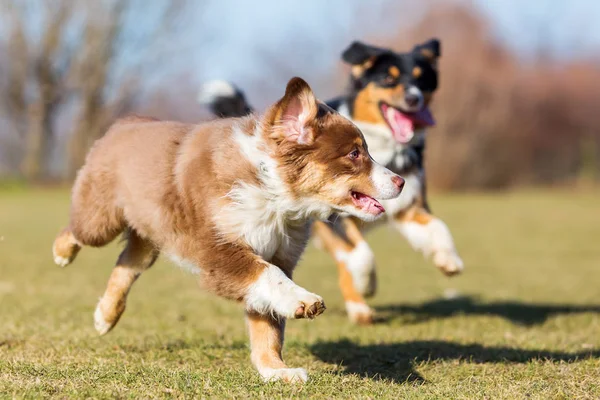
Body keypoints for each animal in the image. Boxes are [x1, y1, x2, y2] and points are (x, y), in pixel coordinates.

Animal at [51, 77, 404, 382]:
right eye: (355, 153)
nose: (401, 181)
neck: (274, 195)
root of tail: (125, 122)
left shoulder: (276, 255)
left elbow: (267, 325)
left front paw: (276, 371)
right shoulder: (218, 251)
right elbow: (270, 279)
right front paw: (302, 301)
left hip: (152, 230)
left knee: (128, 262)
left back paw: (105, 316)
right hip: (101, 219)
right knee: (77, 232)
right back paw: (61, 254)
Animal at [199, 38, 466, 324]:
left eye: (421, 79)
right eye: (387, 78)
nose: (413, 98)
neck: (388, 146)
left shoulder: (409, 205)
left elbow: (438, 226)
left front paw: (448, 258)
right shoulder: (332, 217)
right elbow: (362, 256)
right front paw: (366, 284)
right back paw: (359, 307)